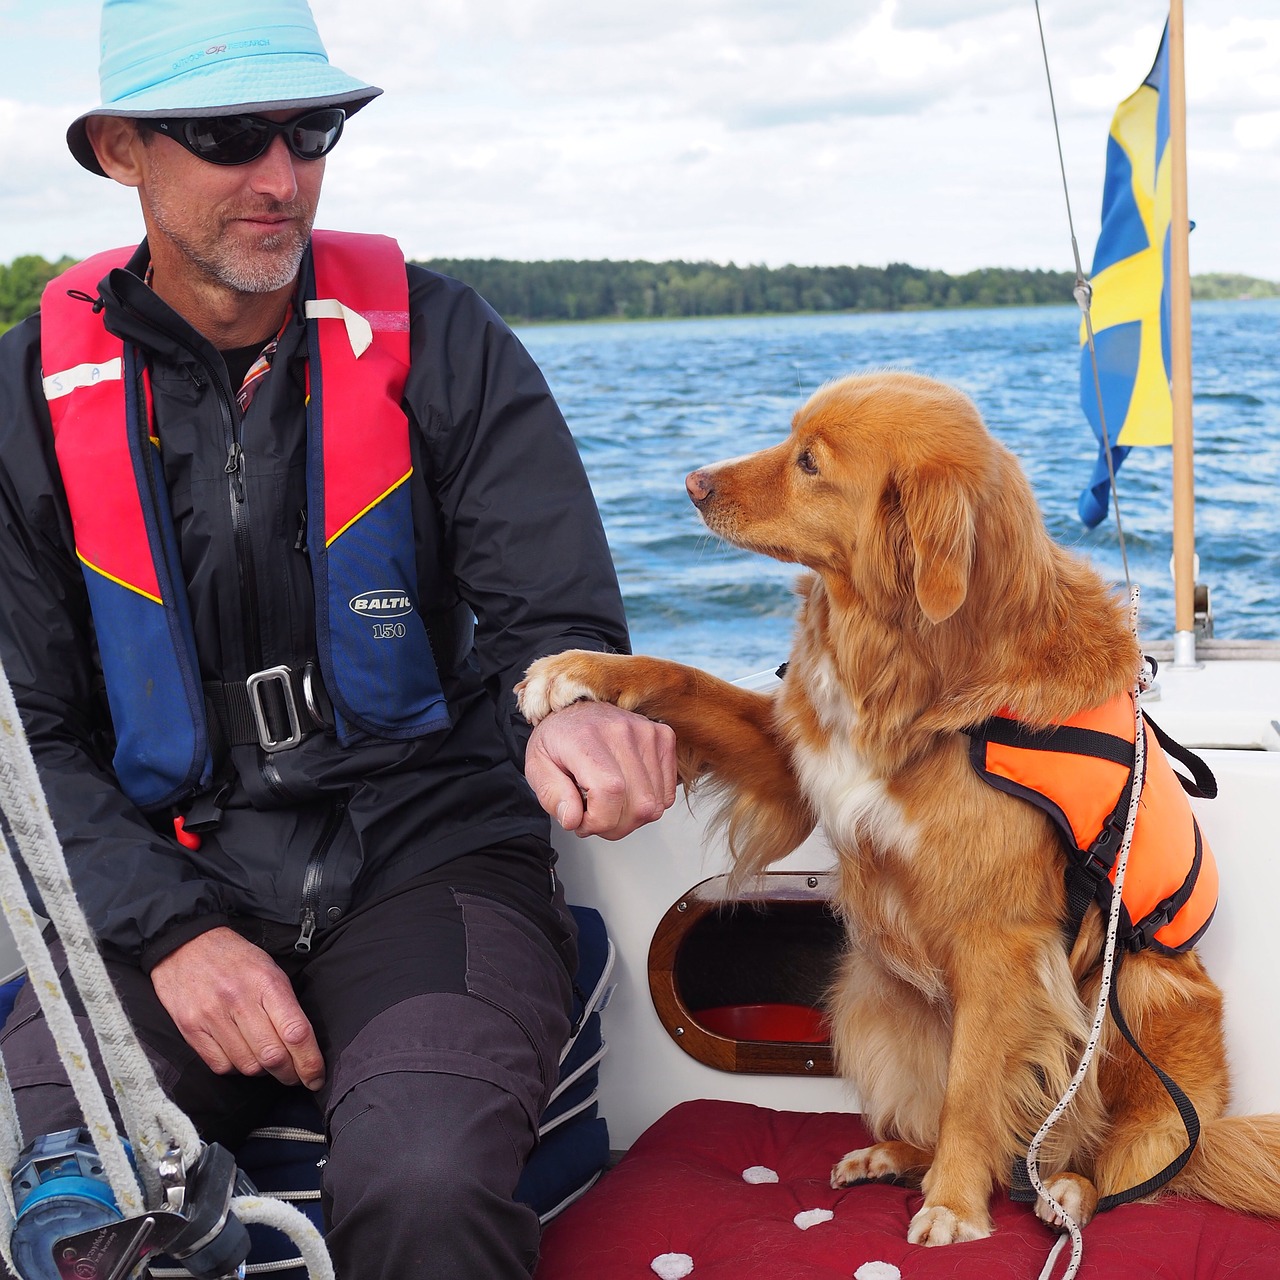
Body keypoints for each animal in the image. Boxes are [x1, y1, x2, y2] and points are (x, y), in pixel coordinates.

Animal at [512, 368, 1280, 1239]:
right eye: (792, 437)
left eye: (810, 462)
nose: (694, 482)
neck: (914, 663)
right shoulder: (794, 758)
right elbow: (687, 681)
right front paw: (577, 672)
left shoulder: (1000, 941)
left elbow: (973, 1093)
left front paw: (953, 1203)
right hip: (869, 997)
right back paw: (896, 1157)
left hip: (1141, 999)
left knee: (1115, 1158)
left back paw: (1063, 1192)